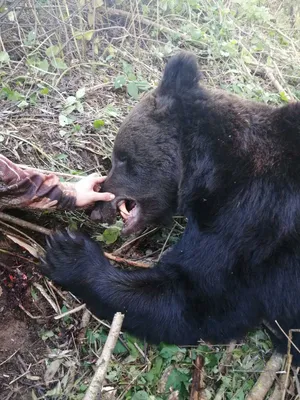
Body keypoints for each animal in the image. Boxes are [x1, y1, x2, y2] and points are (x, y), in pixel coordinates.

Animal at [41, 52, 300, 362]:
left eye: (122, 158)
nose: (97, 208)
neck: (211, 172)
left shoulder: (248, 222)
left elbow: (196, 298)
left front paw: (69, 251)